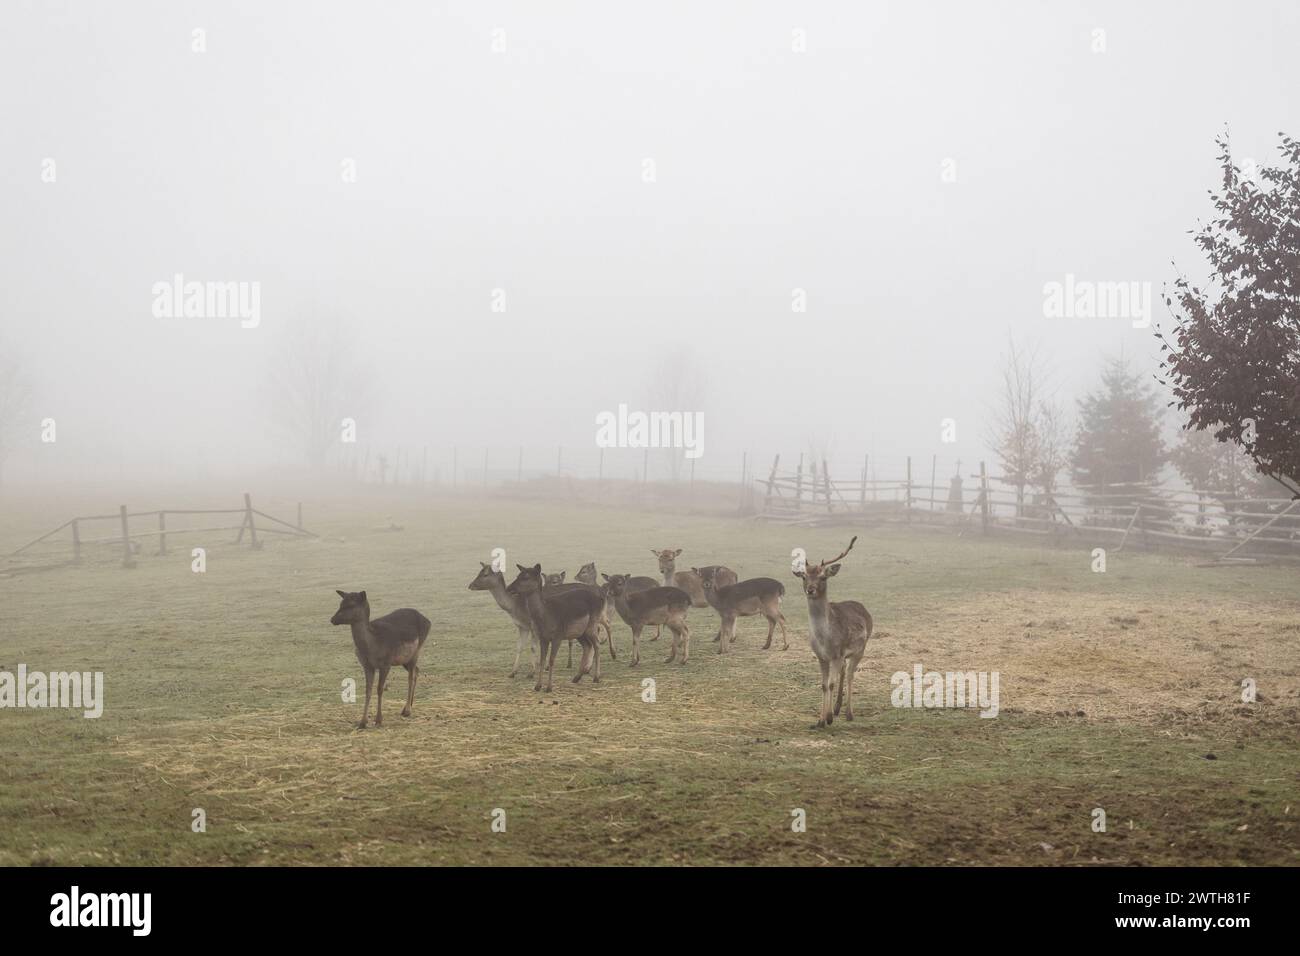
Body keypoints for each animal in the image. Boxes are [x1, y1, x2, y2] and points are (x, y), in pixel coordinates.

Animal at [330, 587, 431, 728]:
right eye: (341, 603)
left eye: (351, 605)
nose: (332, 619)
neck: (372, 646)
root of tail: (428, 620)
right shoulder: (367, 665)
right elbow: (368, 690)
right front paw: (362, 722)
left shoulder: (386, 664)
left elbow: (379, 689)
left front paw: (378, 720)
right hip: (404, 659)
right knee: (417, 670)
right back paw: (407, 706)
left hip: (417, 649)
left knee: (411, 677)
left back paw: (407, 711)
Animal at [790, 535, 873, 728]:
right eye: (804, 576)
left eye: (823, 577)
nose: (810, 589)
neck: (825, 639)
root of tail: (864, 608)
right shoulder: (821, 656)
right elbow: (823, 685)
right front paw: (820, 720)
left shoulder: (836, 654)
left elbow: (831, 684)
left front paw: (827, 718)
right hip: (845, 655)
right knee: (844, 671)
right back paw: (837, 708)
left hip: (860, 649)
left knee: (850, 674)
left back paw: (849, 713)